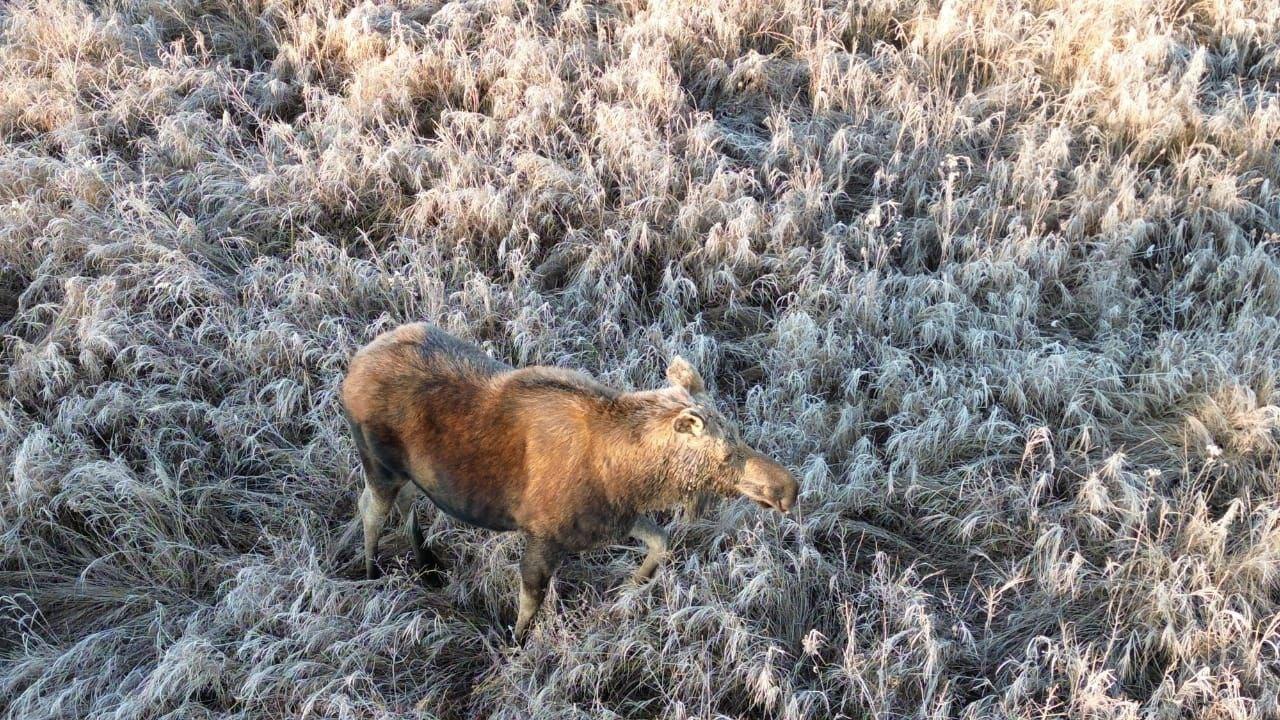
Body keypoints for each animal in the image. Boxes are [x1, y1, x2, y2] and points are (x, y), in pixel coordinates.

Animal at [340, 322, 798, 635]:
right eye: (725, 454)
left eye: (740, 434)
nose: (789, 490)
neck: (633, 477)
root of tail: (353, 365)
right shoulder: (544, 534)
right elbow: (530, 601)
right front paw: (515, 643)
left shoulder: (613, 519)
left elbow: (661, 542)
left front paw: (628, 591)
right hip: (379, 464)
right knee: (370, 509)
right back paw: (370, 571)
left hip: (410, 474)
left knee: (404, 504)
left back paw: (425, 564)